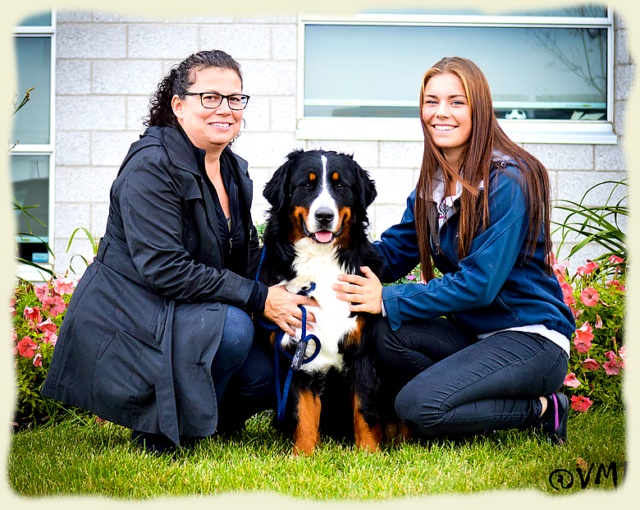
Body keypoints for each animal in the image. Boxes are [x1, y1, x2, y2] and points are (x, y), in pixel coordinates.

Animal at [258, 147, 388, 454]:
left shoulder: (362, 350)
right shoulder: (296, 347)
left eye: (340, 186)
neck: (321, 260)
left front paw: (370, 454)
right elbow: (303, 414)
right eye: (307, 185)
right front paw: (302, 456)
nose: (325, 216)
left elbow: (364, 410)